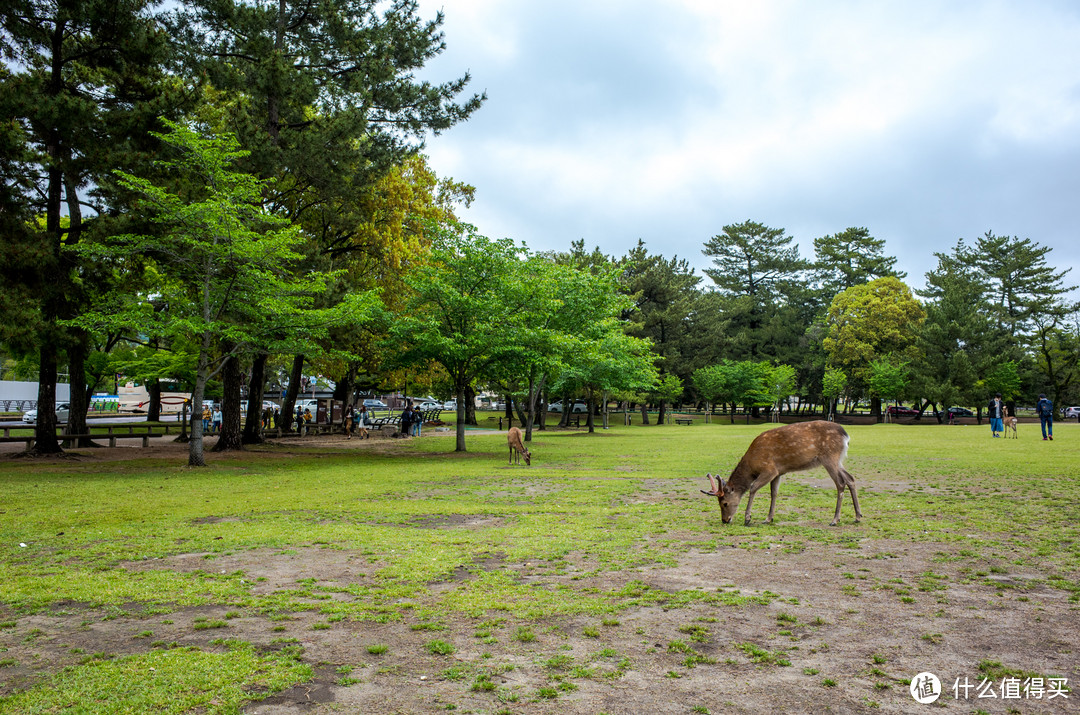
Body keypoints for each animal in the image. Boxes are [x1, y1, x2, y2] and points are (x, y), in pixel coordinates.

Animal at [704, 421, 864, 527]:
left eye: (724, 503)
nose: (725, 520)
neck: (752, 464)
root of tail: (846, 436)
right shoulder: (778, 473)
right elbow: (774, 493)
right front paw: (768, 518)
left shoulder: (769, 469)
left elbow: (753, 488)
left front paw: (748, 518)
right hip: (838, 460)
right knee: (850, 478)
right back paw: (857, 516)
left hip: (829, 457)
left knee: (840, 483)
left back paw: (835, 520)